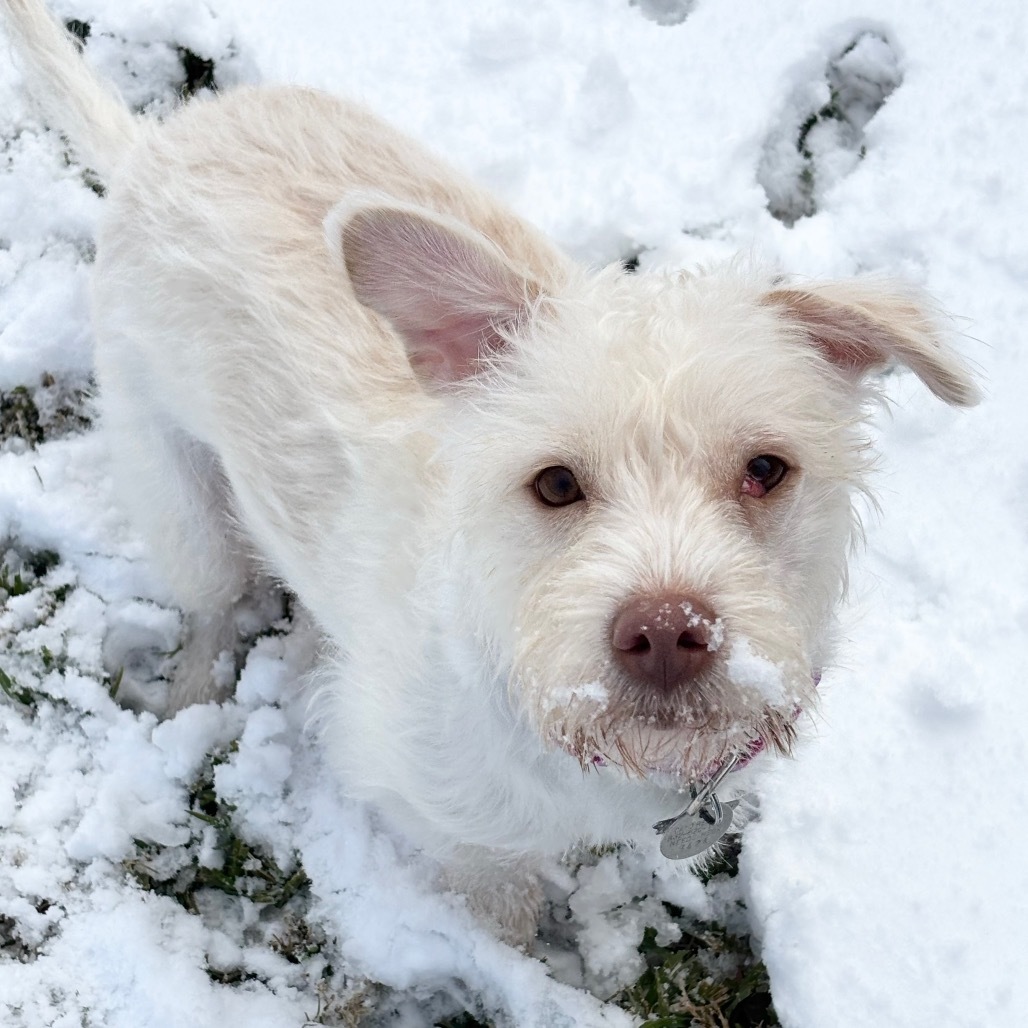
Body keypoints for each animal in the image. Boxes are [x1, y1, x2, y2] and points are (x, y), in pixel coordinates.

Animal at [2, 0, 978, 941]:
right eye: (555, 484)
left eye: (766, 468)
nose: (667, 633)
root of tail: (151, 146)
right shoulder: (457, 830)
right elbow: (499, 912)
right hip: (173, 482)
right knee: (215, 603)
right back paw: (191, 697)